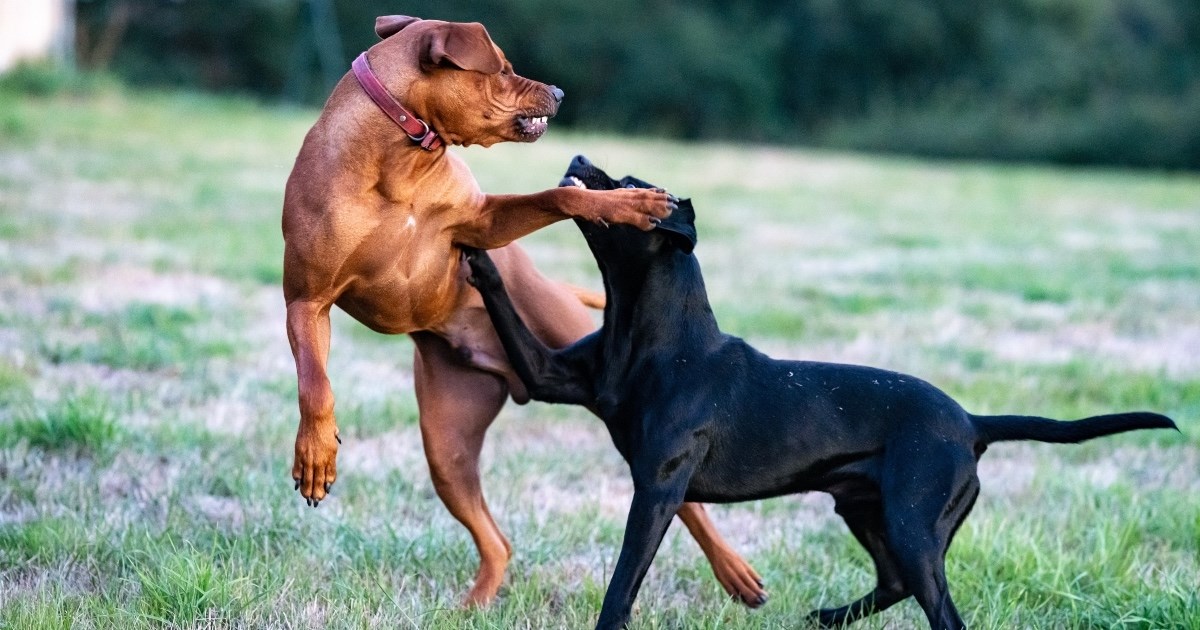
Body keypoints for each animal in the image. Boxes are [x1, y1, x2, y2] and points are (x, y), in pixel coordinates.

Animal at [280, 13, 768, 604]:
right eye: (504, 68)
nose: (559, 92)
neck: (400, 159)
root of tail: (508, 373)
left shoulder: (483, 222)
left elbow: (561, 196)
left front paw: (626, 203)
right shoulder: (306, 302)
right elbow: (315, 383)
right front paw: (315, 453)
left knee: (689, 503)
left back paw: (735, 571)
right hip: (447, 449)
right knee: (497, 541)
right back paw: (475, 605)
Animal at [463, 156, 1176, 628]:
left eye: (634, 187)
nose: (581, 158)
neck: (653, 332)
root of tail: (973, 422)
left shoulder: (659, 487)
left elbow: (623, 580)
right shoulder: (552, 378)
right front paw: (474, 249)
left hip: (914, 526)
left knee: (939, 609)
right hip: (865, 510)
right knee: (893, 583)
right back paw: (828, 617)